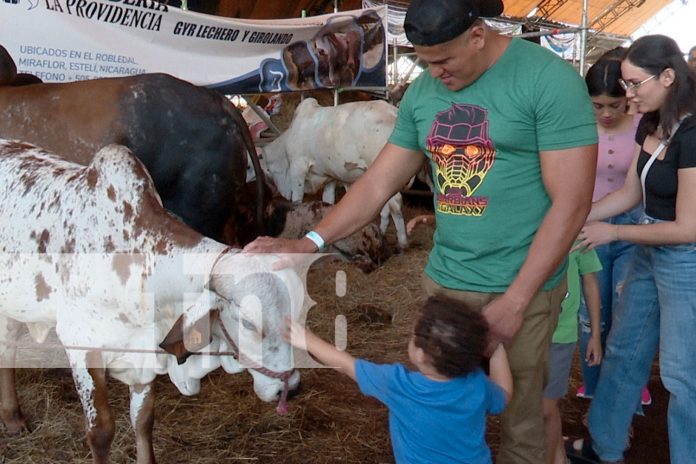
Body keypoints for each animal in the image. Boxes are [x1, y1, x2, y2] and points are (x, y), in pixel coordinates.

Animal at [0, 140, 304, 464]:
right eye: (248, 323)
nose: (293, 388)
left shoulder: (145, 351)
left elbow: (143, 419)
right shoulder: (81, 348)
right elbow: (101, 432)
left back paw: (12, 417)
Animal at [258, 97, 408, 248]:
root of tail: (393, 112)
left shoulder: (298, 168)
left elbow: (297, 201)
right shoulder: (329, 177)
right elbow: (328, 201)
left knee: (396, 203)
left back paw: (402, 242)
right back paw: (382, 233)